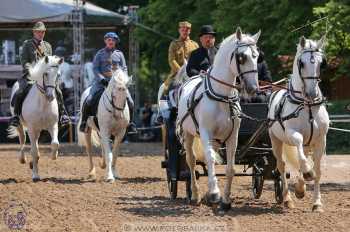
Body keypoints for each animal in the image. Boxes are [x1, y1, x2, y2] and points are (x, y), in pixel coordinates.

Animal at [178, 27, 260, 210]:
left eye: (257, 55)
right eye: (241, 57)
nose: (253, 88)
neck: (222, 97)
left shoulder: (232, 136)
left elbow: (230, 168)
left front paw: (226, 200)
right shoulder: (205, 133)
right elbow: (208, 159)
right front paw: (215, 193)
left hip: (216, 139)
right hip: (188, 134)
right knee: (191, 161)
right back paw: (195, 195)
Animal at [268, 35, 328, 211]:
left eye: (322, 63)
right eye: (302, 63)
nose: (312, 93)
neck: (307, 106)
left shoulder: (321, 140)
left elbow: (318, 170)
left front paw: (317, 203)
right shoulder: (293, 134)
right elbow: (301, 158)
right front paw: (308, 174)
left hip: (309, 144)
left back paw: (301, 188)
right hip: (275, 140)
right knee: (281, 166)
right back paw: (288, 199)